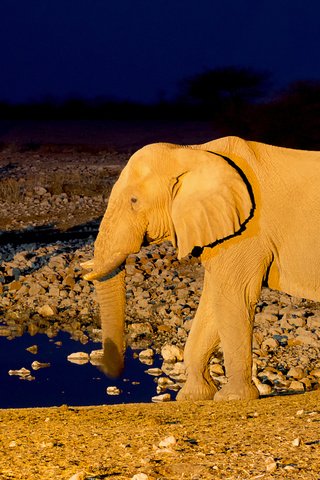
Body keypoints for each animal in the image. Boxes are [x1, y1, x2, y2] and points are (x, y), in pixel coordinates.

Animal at [81, 136, 320, 402]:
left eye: (134, 201)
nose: (107, 371)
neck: (193, 152)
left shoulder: (246, 233)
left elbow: (234, 297)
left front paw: (232, 398)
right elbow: (213, 301)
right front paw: (193, 396)